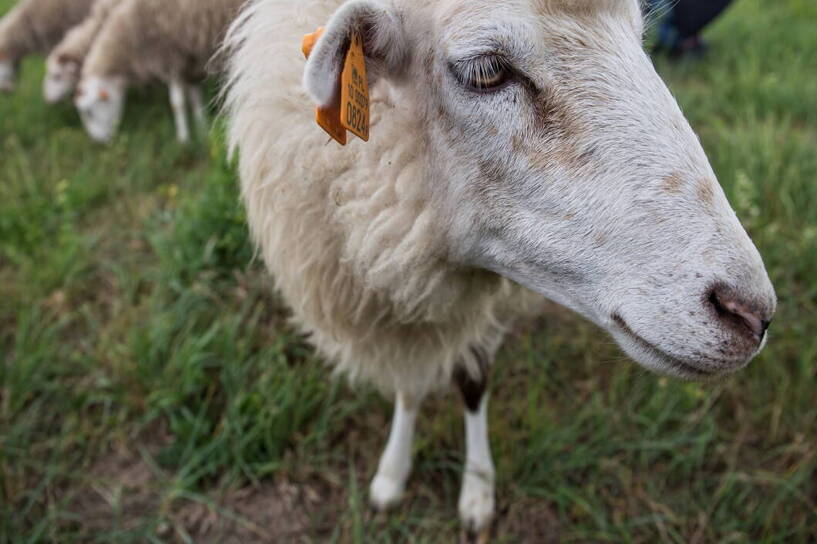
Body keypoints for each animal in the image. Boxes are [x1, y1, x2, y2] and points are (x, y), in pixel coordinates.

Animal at [78, 0, 247, 143]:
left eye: (89, 112)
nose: (99, 141)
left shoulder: (170, 60)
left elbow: (176, 104)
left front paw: (183, 138)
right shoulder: (190, 64)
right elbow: (194, 99)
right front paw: (201, 128)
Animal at [220, 0, 776, 536]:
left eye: (639, 39)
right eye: (486, 70)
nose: (750, 314)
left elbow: (472, 382)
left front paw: (477, 491)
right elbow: (410, 384)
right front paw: (392, 475)